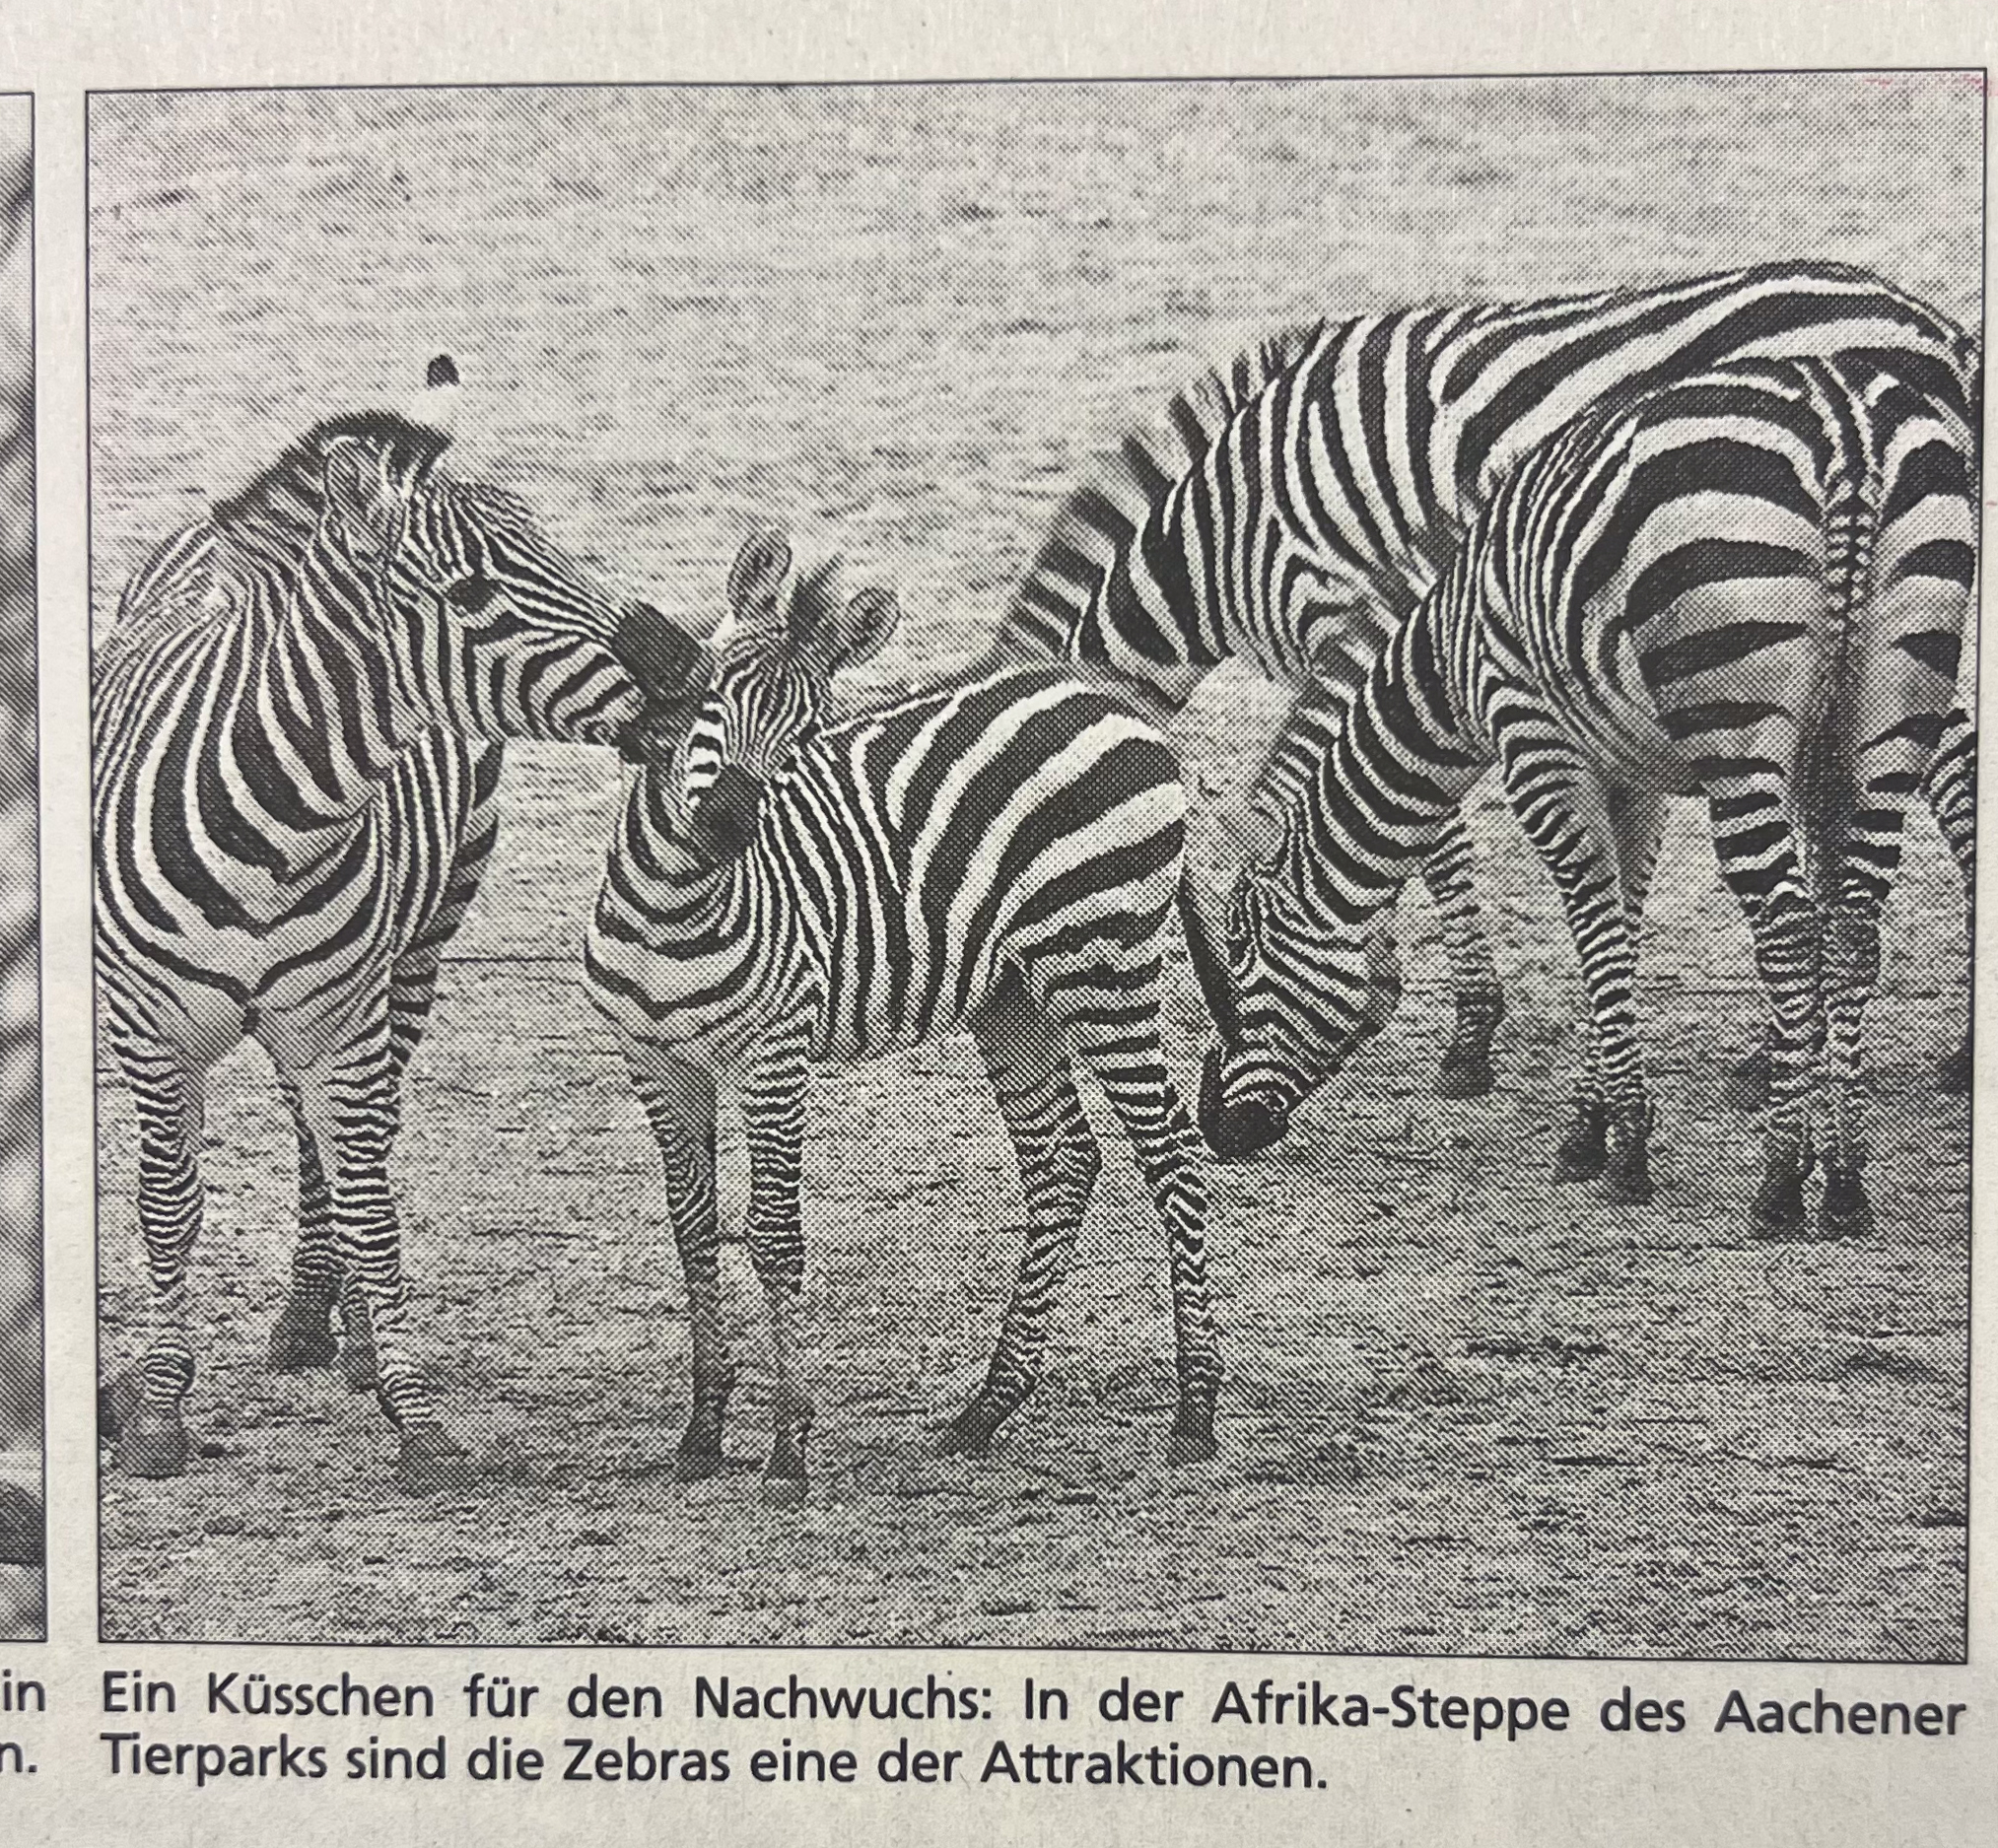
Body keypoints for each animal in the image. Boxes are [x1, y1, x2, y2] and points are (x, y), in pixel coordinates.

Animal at [94, 363, 708, 1492]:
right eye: (471, 597)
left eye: (555, 546)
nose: (688, 666)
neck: (269, 826)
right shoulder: (150, 1037)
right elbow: (167, 1208)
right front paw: (157, 1410)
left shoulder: (341, 1025)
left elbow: (372, 1208)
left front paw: (413, 1414)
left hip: (413, 956)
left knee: (347, 1143)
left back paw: (341, 1333)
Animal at [585, 532, 1221, 1497]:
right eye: (710, 696)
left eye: (806, 734)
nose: (730, 825)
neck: (673, 903)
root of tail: (1107, 699)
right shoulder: (656, 1059)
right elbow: (693, 1229)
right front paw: (703, 1427)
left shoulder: (775, 1050)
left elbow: (773, 1235)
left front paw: (787, 1446)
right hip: (1011, 996)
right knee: (1064, 1161)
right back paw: (986, 1409)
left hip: (1098, 964)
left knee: (1172, 1154)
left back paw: (1193, 1410)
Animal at [1186, 353, 1977, 1241]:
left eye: (1242, 960)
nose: (1217, 1127)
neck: (1448, 653)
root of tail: (1843, 423)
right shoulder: (1632, 776)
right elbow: (1623, 928)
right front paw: (1592, 1123)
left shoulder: (1535, 744)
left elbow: (1594, 931)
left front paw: (1622, 1145)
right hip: (1884, 709)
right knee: (1849, 929)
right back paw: (1841, 1181)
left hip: (1738, 726)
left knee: (1786, 928)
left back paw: (1778, 1181)